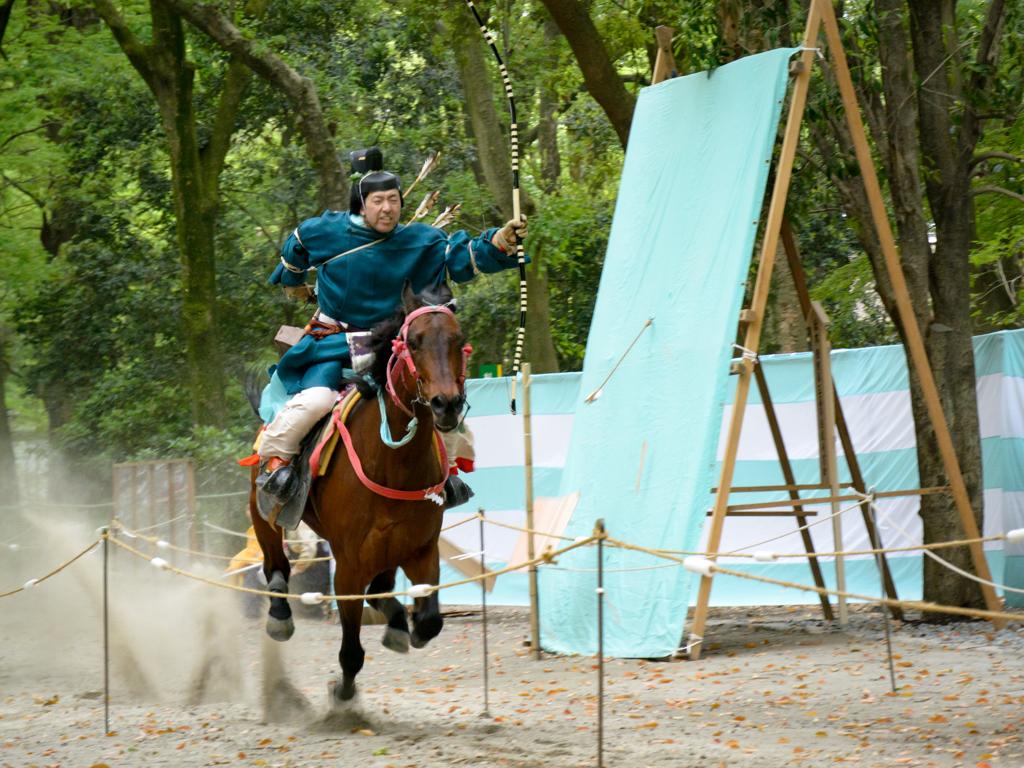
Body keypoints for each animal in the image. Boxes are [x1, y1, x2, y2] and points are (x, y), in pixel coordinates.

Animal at [247, 280, 468, 704]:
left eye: (458, 339)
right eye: (413, 341)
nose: (446, 404)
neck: (394, 463)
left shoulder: (422, 551)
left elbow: (429, 621)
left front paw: (408, 626)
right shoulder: (347, 565)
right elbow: (351, 650)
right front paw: (342, 694)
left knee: (381, 590)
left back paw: (396, 622)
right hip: (261, 507)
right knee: (274, 562)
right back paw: (280, 613)